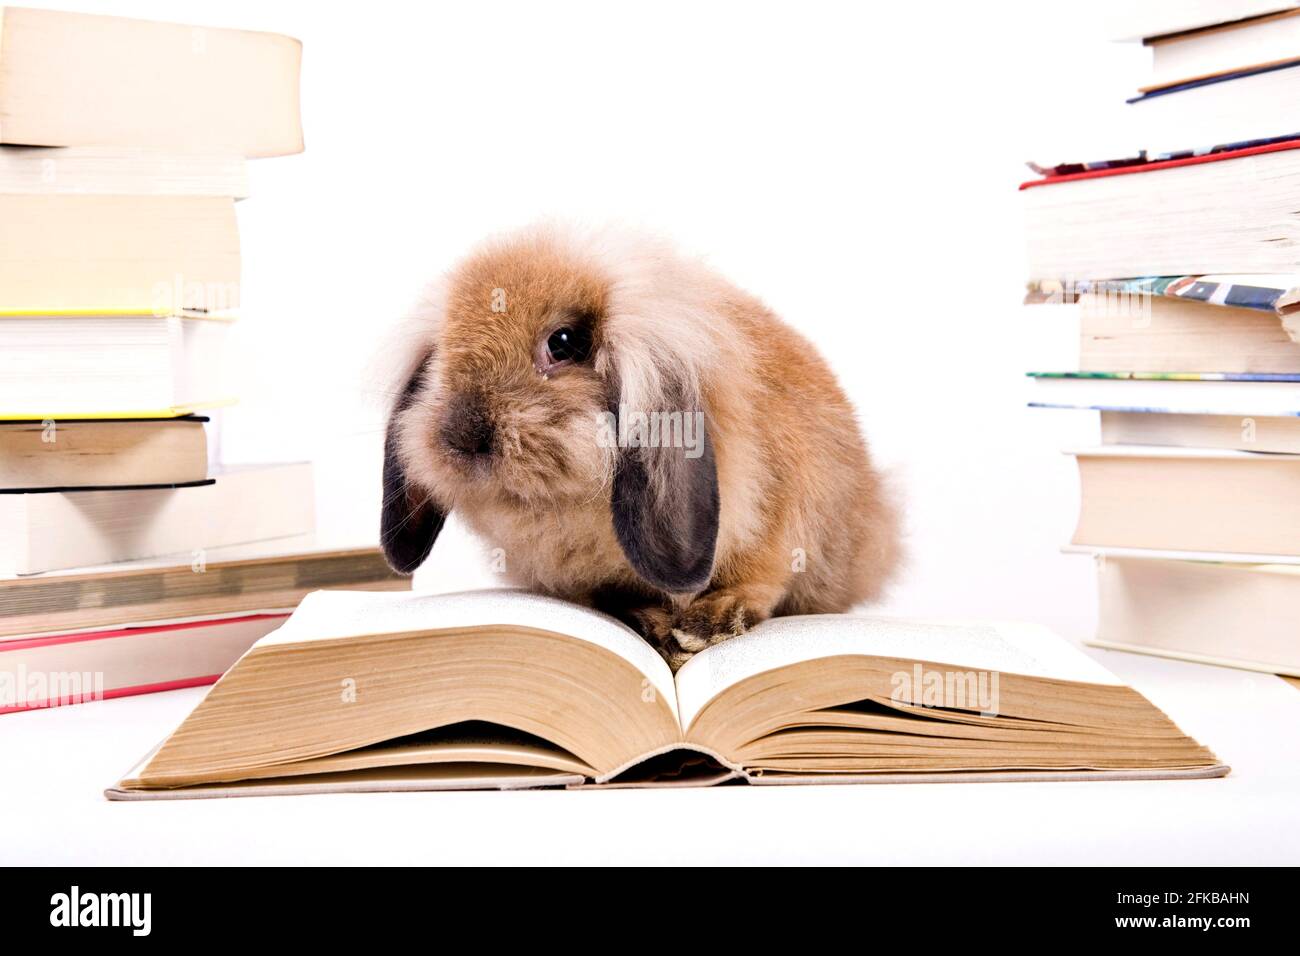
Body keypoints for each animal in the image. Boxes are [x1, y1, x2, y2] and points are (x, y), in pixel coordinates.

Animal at [379, 224, 901, 670]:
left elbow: (761, 581)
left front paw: (703, 629)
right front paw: (646, 623)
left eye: (564, 342)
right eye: (444, 351)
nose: (462, 433)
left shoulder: (779, 523)